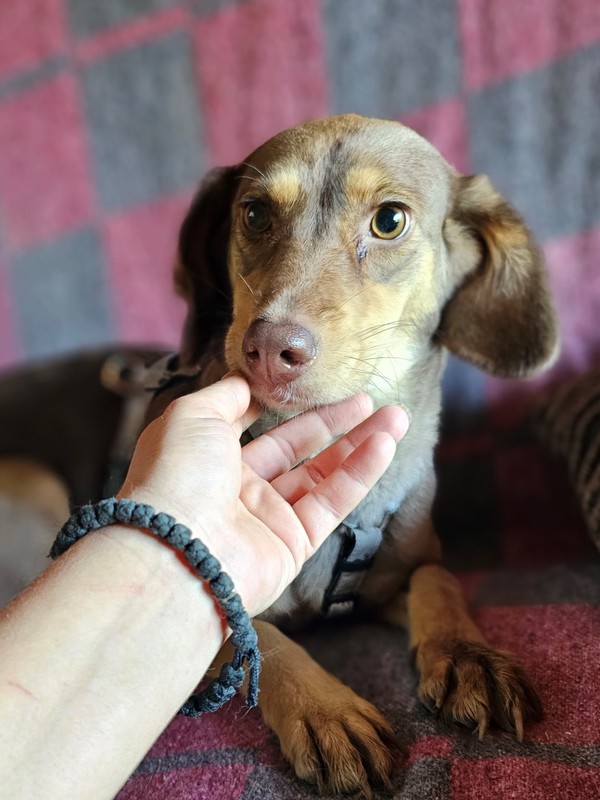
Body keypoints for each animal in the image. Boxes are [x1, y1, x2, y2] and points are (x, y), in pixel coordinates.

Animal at [148, 114, 558, 796]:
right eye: (254, 213)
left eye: (389, 220)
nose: (268, 349)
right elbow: (264, 640)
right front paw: (327, 712)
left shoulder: (409, 567)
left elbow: (438, 581)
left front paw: (468, 657)